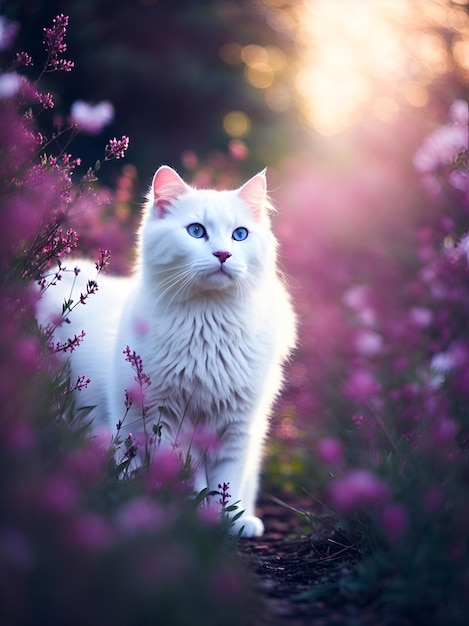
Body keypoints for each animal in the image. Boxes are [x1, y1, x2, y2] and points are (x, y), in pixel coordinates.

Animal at [39, 166, 296, 536]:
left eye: (240, 235)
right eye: (196, 231)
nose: (224, 254)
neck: (208, 325)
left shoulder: (238, 425)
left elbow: (228, 482)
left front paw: (232, 520)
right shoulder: (166, 422)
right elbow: (191, 481)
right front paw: (196, 519)